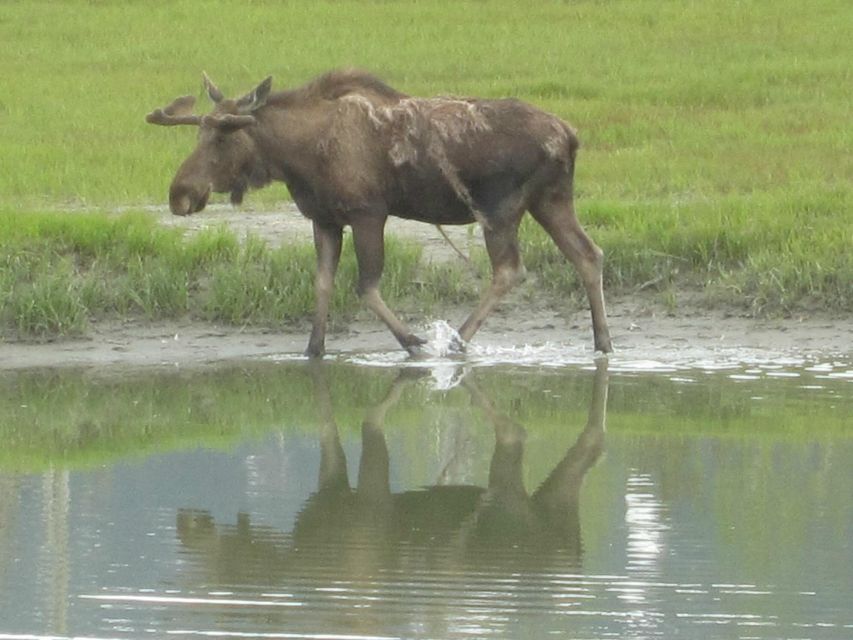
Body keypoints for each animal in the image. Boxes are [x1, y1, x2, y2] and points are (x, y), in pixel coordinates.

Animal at [148, 74, 612, 360]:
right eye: (199, 132)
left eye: (224, 137)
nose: (179, 193)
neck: (297, 158)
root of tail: (571, 136)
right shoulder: (324, 218)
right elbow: (323, 283)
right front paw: (312, 349)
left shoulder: (368, 212)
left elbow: (365, 286)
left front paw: (415, 341)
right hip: (550, 200)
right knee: (588, 253)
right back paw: (603, 342)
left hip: (500, 208)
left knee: (510, 269)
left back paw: (455, 341)